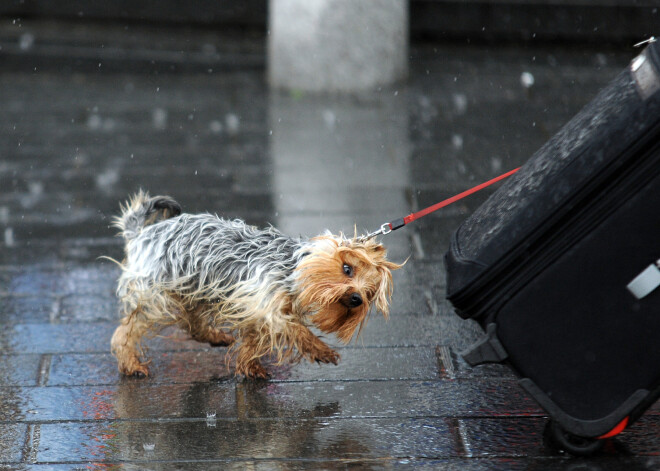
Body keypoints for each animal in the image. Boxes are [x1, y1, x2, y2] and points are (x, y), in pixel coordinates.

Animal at [108, 192, 402, 380]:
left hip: (194, 291)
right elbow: (295, 329)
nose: (356, 298)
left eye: (369, 293)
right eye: (347, 269)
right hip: (157, 296)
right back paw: (131, 364)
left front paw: (249, 367)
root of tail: (141, 232)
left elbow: (253, 340)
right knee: (126, 331)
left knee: (192, 324)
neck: (291, 268)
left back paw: (216, 336)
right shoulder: (266, 304)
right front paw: (322, 350)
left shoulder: (251, 307)